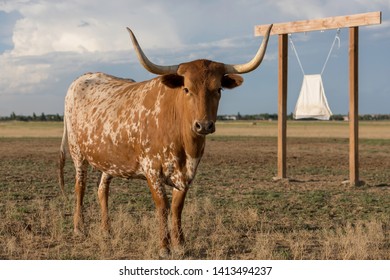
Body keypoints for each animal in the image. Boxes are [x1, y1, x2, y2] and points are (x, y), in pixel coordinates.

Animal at [58, 25, 272, 258]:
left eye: (218, 90)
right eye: (186, 89)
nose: (204, 125)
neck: (183, 142)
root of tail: (83, 77)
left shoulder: (187, 173)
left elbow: (177, 207)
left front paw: (180, 245)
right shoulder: (152, 170)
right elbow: (163, 206)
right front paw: (163, 247)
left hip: (109, 159)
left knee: (102, 190)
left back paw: (106, 230)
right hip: (78, 153)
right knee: (80, 187)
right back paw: (79, 228)